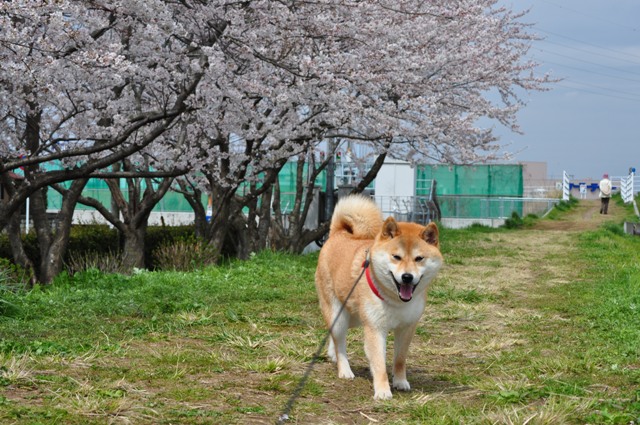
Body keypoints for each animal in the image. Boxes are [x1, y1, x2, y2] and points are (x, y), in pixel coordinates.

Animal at [314, 194, 442, 400]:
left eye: (419, 258)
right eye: (396, 257)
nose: (407, 277)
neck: (396, 301)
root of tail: (337, 234)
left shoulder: (407, 328)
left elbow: (400, 359)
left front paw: (400, 381)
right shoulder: (375, 329)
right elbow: (379, 363)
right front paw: (382, 391)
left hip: (354, 316)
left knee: (334, 336)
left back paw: (332, 353)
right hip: (339, 315)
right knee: (340, 341)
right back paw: (344, 369)